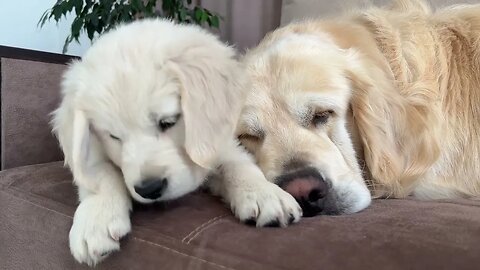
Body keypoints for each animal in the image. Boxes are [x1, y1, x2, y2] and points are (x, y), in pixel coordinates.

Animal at [51, 20, 300, 266]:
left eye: (167, 122)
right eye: (113, 136)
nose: (149, 189)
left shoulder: (220, 141)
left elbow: (238, 164)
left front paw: (264, 193)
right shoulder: (91, 152)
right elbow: (101, 174)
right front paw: (95, 219)